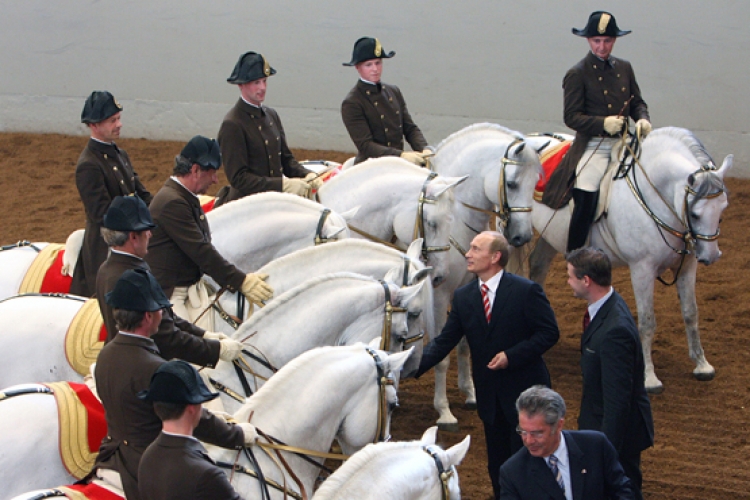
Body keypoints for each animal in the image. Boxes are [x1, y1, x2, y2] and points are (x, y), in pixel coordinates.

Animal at [426, 124, 544, 430]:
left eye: (535, 184)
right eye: (512, 184)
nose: (522, 236)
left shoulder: (468, 289)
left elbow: (465, 344)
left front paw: (470, 393)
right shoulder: (439, 294)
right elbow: (441, 355)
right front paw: (443, 411)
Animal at [528, 127, 736, 392]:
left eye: (723, 208)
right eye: (695, 213)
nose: (711, 256)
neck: (653, 196)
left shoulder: (687, 267)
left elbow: (691, 313)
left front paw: (702, 365)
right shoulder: (642, 269)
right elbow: (647, 323)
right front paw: (650, 378)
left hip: (550, 235)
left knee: (538, 266)